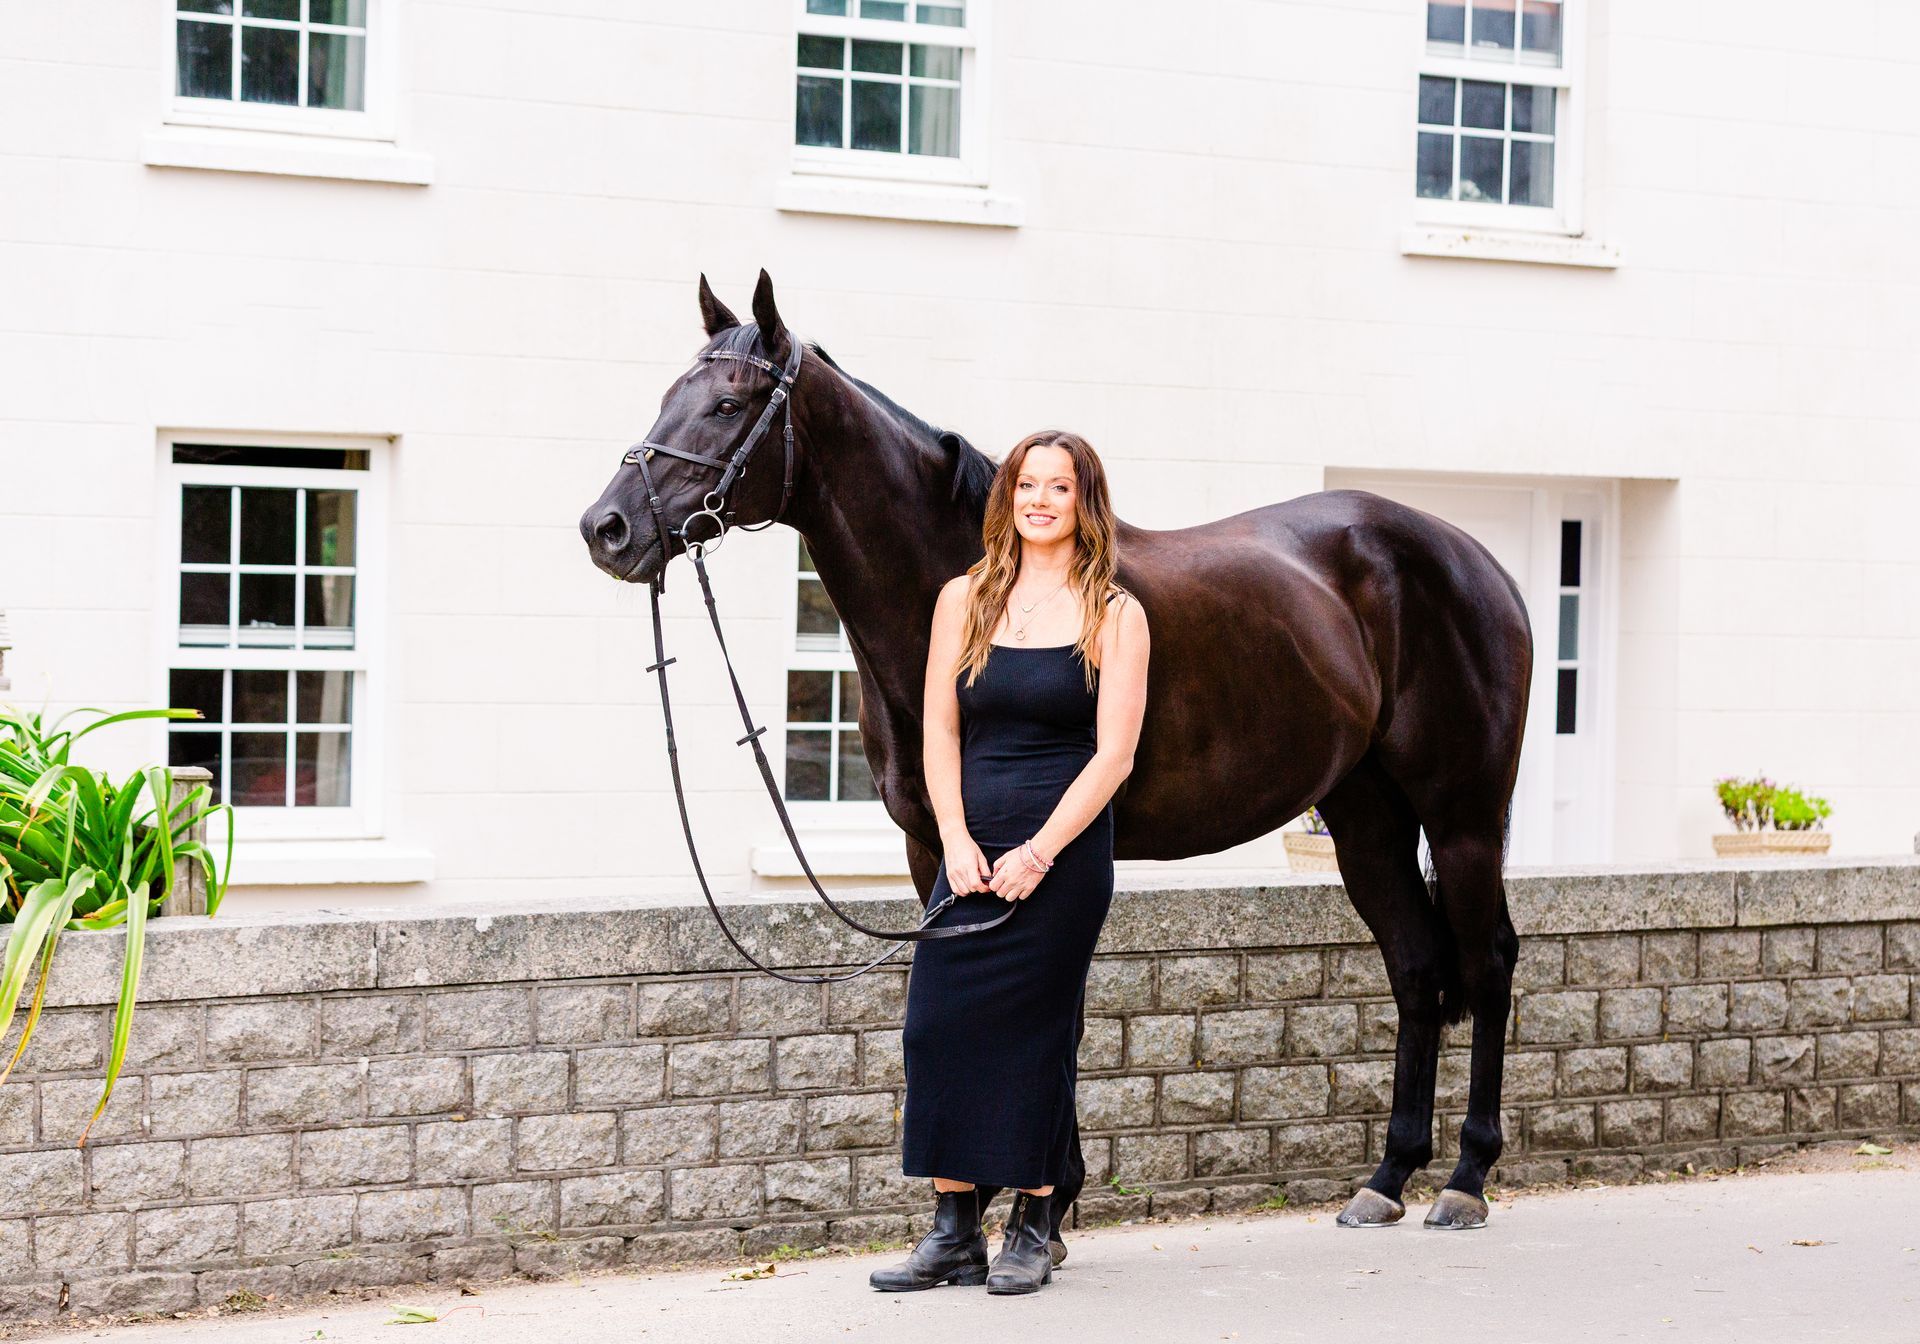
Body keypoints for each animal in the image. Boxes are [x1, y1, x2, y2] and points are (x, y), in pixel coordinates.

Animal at [581, 270, 1533, 1238]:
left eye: (728, 404)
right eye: (671, 394)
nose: (606, 528)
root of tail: (1474, 559)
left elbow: (1055, 1013)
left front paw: (1042, 1205)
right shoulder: (936, 849)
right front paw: (987, 1206)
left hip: (1460, 816)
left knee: (1488, 962)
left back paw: (1465, 1176)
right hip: (1366, 817)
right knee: (1416, 967)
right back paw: (1388, 1175)